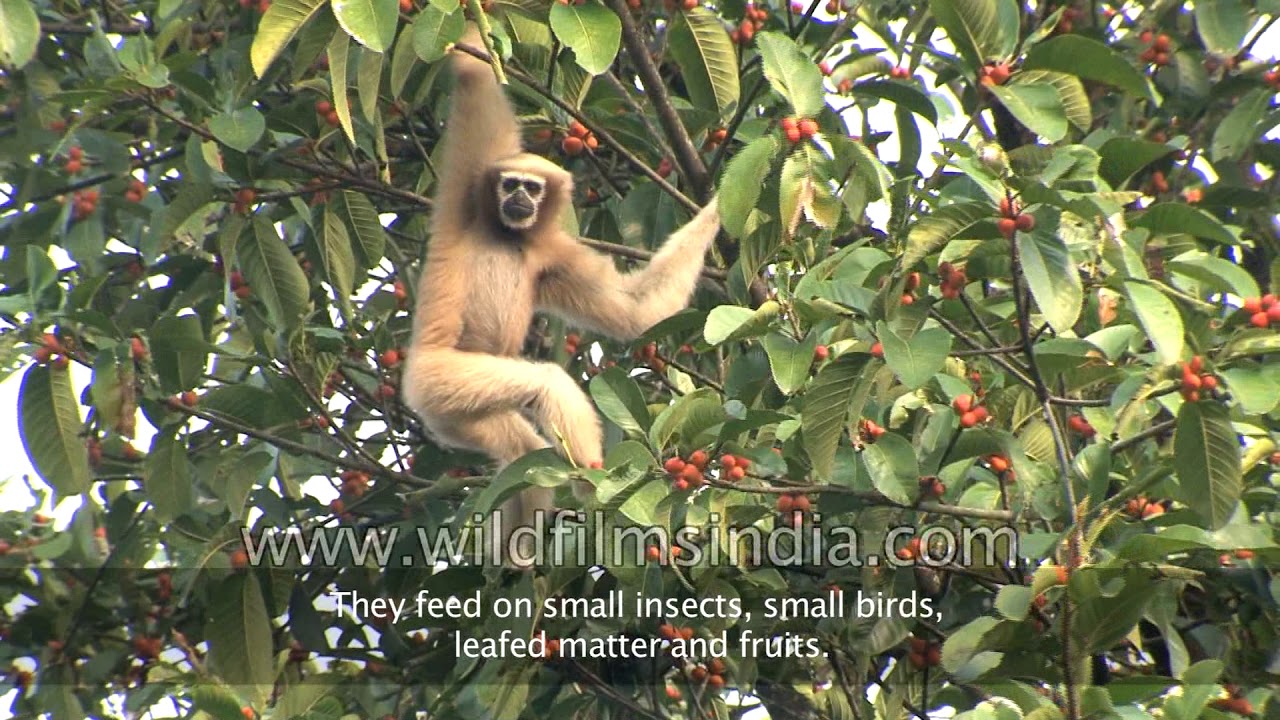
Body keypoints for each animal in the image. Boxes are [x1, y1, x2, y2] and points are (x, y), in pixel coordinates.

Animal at [401, 23, 721, 567]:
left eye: (531, 188)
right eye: (511, 183)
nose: (518, 198)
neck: (509, 237)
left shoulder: (552, 254)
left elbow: (634, 312)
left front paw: (725, 199)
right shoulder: (469, 192)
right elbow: (474, 76)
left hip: (462, 413)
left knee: (523, 457)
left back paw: (516, 556)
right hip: (440, 378)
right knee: (546, 384)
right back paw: (593, 481)